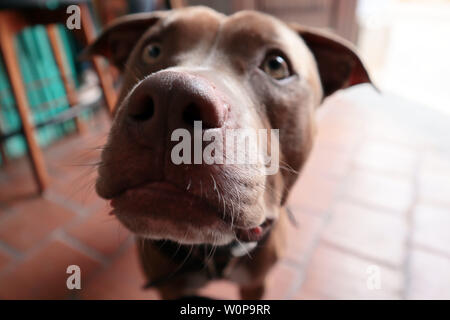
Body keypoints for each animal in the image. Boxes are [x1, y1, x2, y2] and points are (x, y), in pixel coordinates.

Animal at [82, 6, 370, 298]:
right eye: (152, 50)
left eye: (276, 66)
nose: (170, 95)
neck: (214, 252)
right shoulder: (170, 289)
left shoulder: (255, 284)